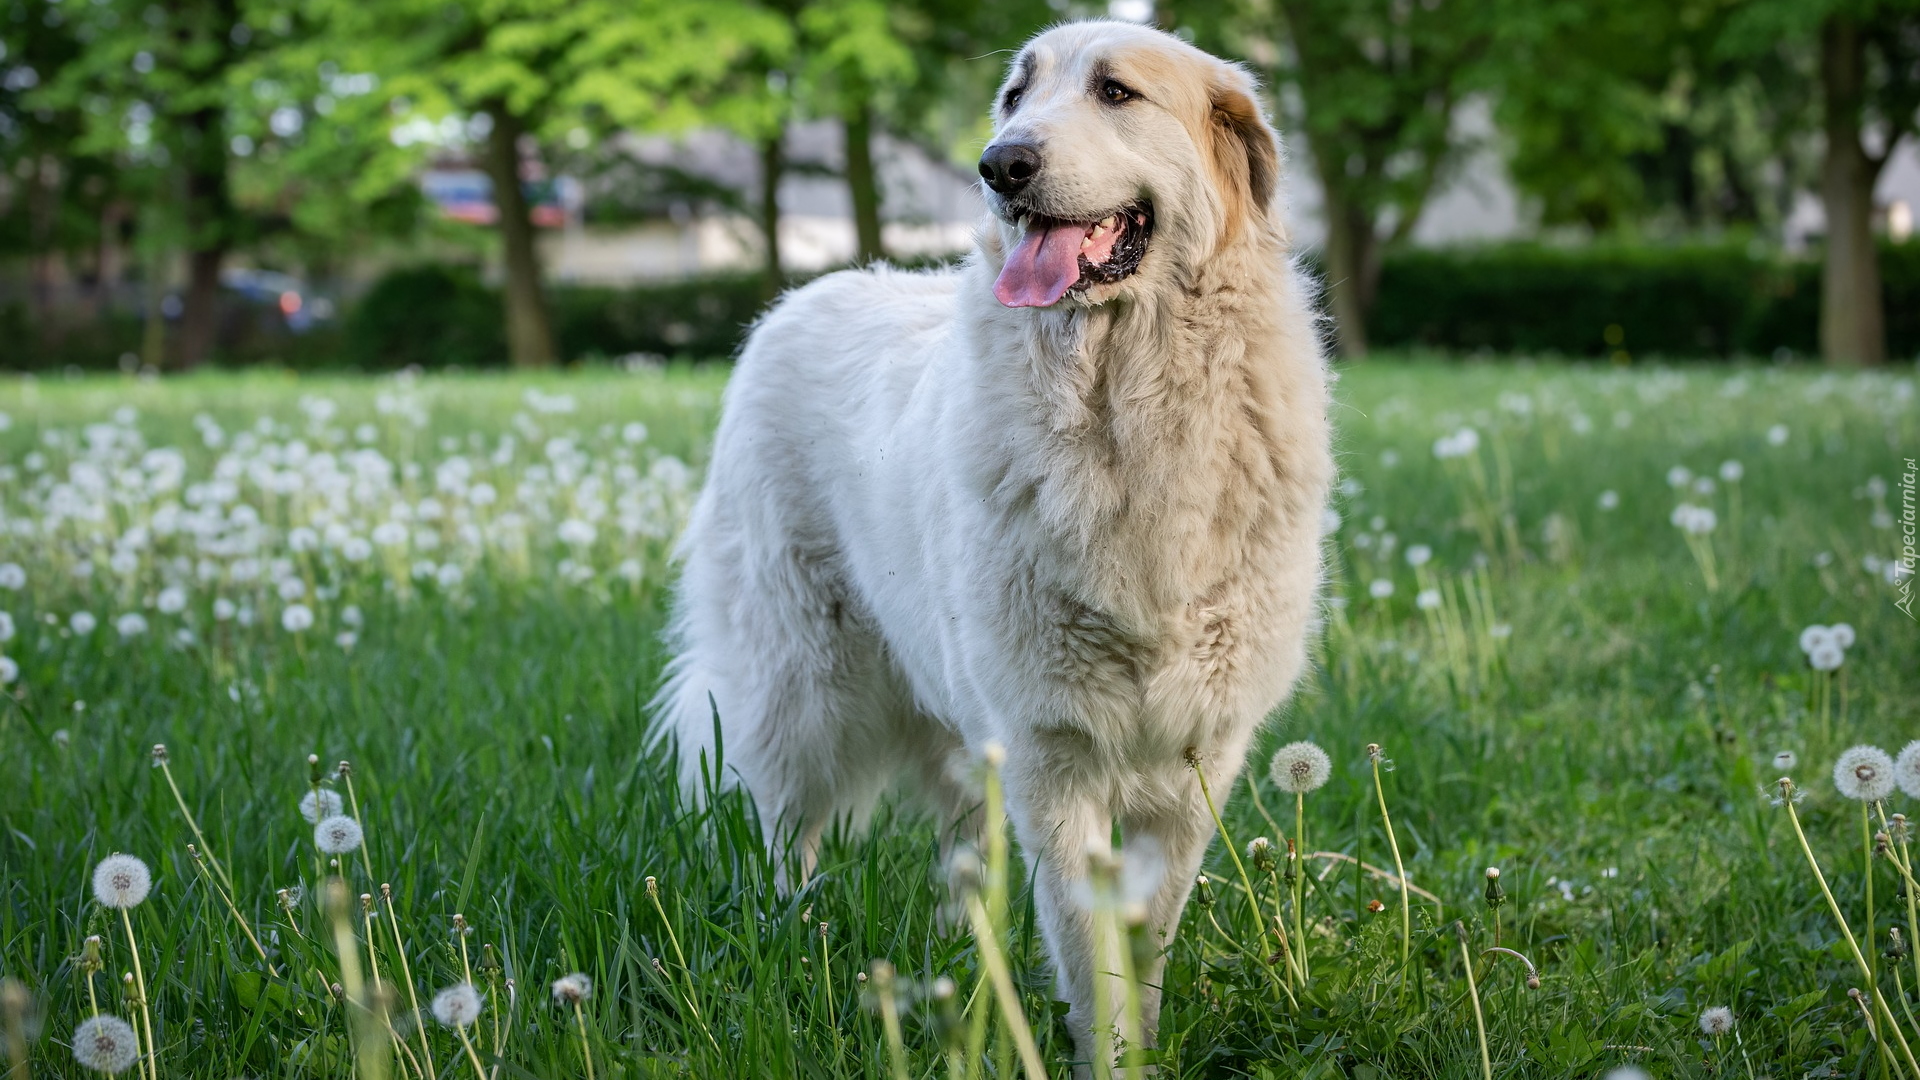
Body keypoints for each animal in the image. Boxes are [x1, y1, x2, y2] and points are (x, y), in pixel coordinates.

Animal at [652, 18, 1328, 1068]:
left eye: (1117, 92)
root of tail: (798, 300)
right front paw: (1107, 1059)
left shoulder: (1191, 767)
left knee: (955, 843)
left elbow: (1148, 946)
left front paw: (1137, 1048)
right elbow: (1094, 959)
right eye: (1017, 95)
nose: (1000, 164)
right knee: (780, 822)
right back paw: (789, 936)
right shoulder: (1055, 755)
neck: (1124, 402)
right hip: (799, 681)